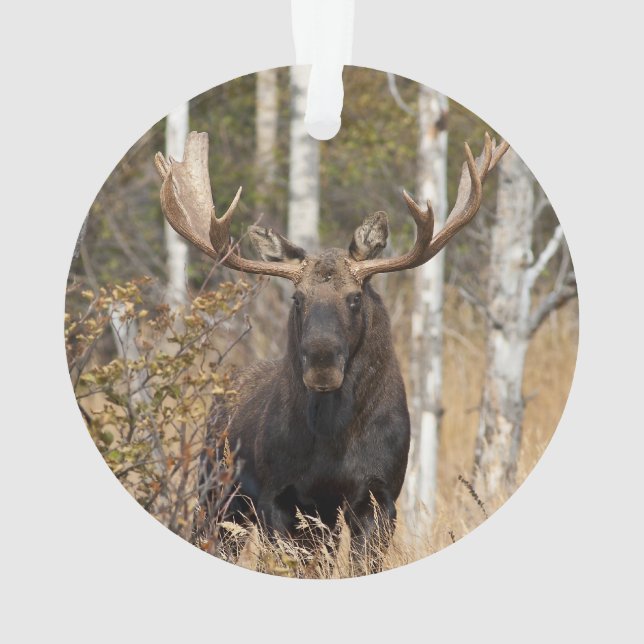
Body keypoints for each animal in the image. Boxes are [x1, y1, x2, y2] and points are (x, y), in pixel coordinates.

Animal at [155, 131, 508, 568]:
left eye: (355, 297)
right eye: (297, 299)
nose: (322, 364)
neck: (333, 442)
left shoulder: (380, 495)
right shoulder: (280, 497)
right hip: (216, 494)